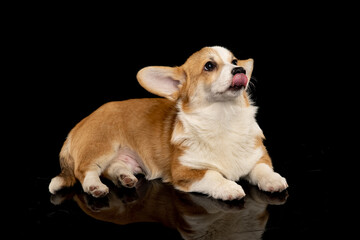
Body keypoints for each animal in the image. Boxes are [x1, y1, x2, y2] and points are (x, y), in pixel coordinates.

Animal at [49, 46, 288, 200]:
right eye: (209, 66)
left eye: (235, 61)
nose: (240, 71)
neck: (223, 119)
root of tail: (77, 126)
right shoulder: (186, 171)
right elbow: (212, 175)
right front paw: (229, 187)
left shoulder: (258, 157)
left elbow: (262, 169)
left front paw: (273, 180)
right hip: (101, 147)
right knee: (85, 171)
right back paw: (94, 187)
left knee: (112, 168)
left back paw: (124, 178)